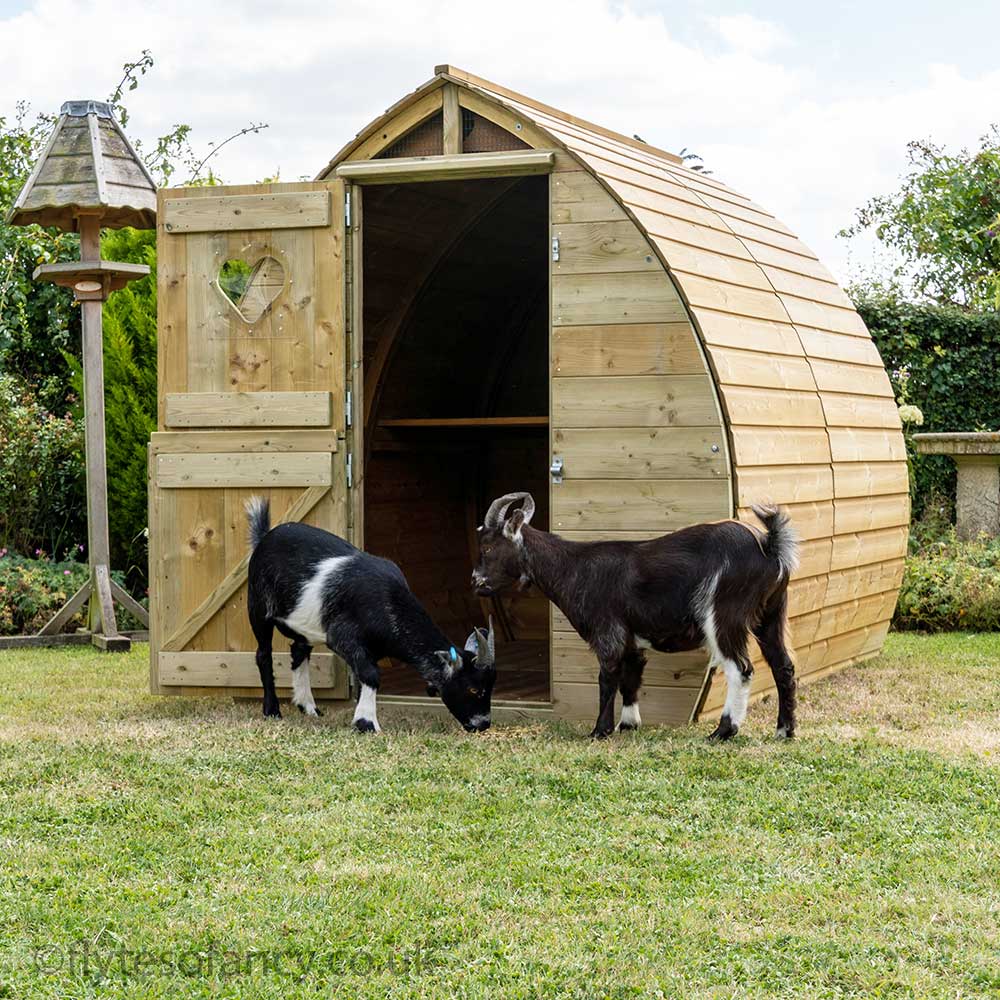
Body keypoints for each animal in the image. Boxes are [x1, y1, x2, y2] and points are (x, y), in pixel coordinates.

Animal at [246, 500, 496, 736]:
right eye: (473, 689)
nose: (483, 724)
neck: (388, 601)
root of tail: (265, 537)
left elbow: (365, 676)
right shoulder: (343, 637)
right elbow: (372, 675)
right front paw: (367, 723)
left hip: (305, 624)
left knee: (299, 652)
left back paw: (308, 707)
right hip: (258, 606)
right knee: (263, 655)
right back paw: (272, 710)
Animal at [472, 494, 800, 744]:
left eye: (488, 547)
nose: (476, 581)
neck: (573, 568)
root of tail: (769, 546)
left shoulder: (608, 633)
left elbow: (607, 679)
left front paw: (599, 731)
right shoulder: (632, 640)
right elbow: (631, 679)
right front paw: (628, 726)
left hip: (724, 614)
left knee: (741, 668)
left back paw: (722, 732)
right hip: (771, 614)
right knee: (783, 666)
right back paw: (784, 731)